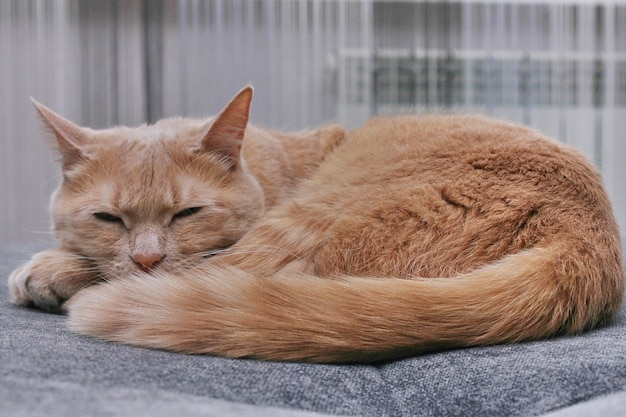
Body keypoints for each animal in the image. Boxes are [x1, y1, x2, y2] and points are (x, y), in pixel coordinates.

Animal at [7, 87, 620, 360]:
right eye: (108, 218)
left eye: (187, 213)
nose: (147, 256)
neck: (273, 163)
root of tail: (586, 246)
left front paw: (52, 269)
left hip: (301, 223)